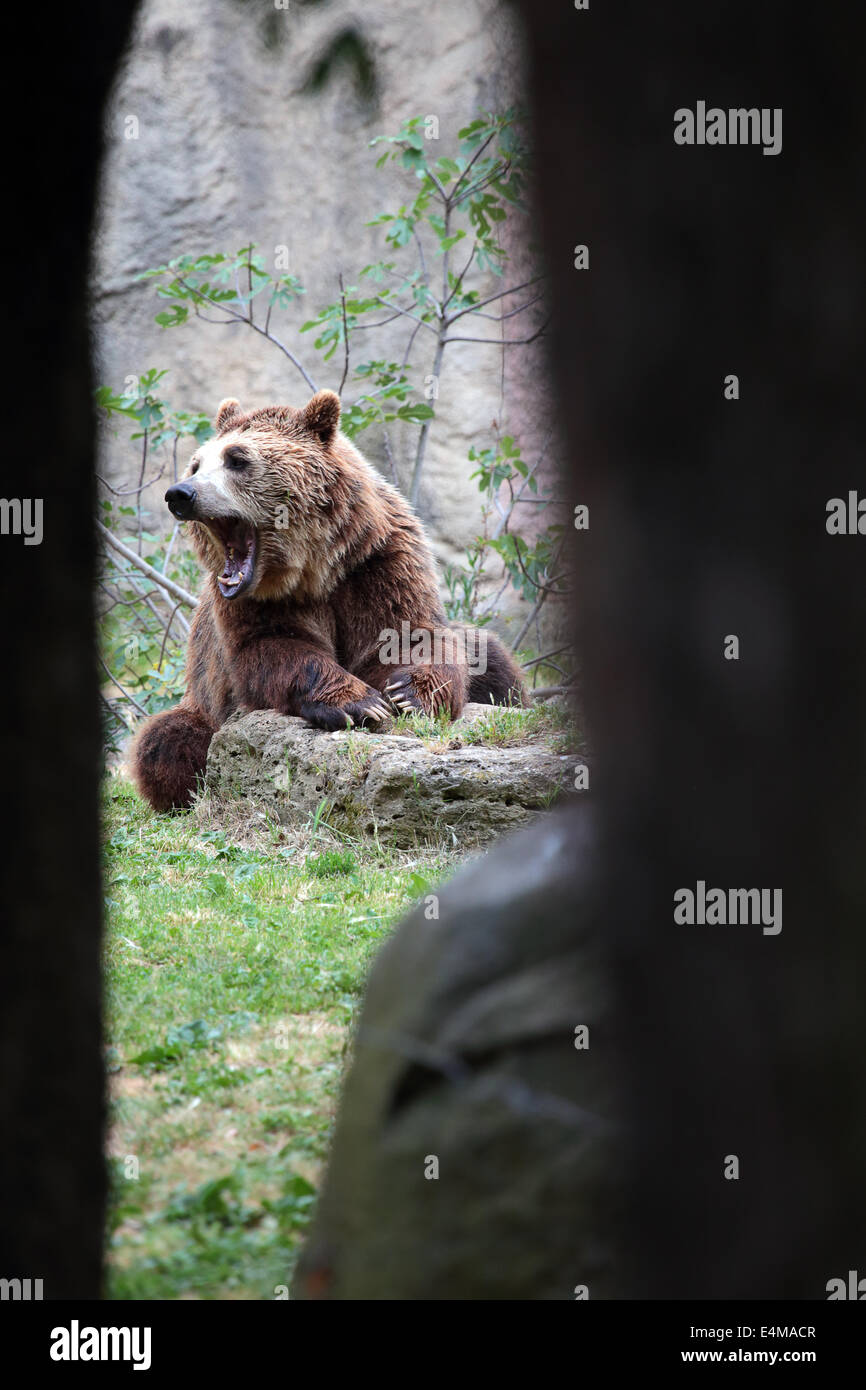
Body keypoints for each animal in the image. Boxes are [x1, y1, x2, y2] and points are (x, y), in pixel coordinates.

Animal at [131, 389, 525, 811]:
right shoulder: (251, 602)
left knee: (492, 659)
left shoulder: (379, 561)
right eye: (196, 464)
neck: (315, 567)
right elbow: (271, 648)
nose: (181, 493)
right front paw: (358, 702)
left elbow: (411, 634)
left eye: (236, 459)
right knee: (167, 742)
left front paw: (408, 694)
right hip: (203, 706)